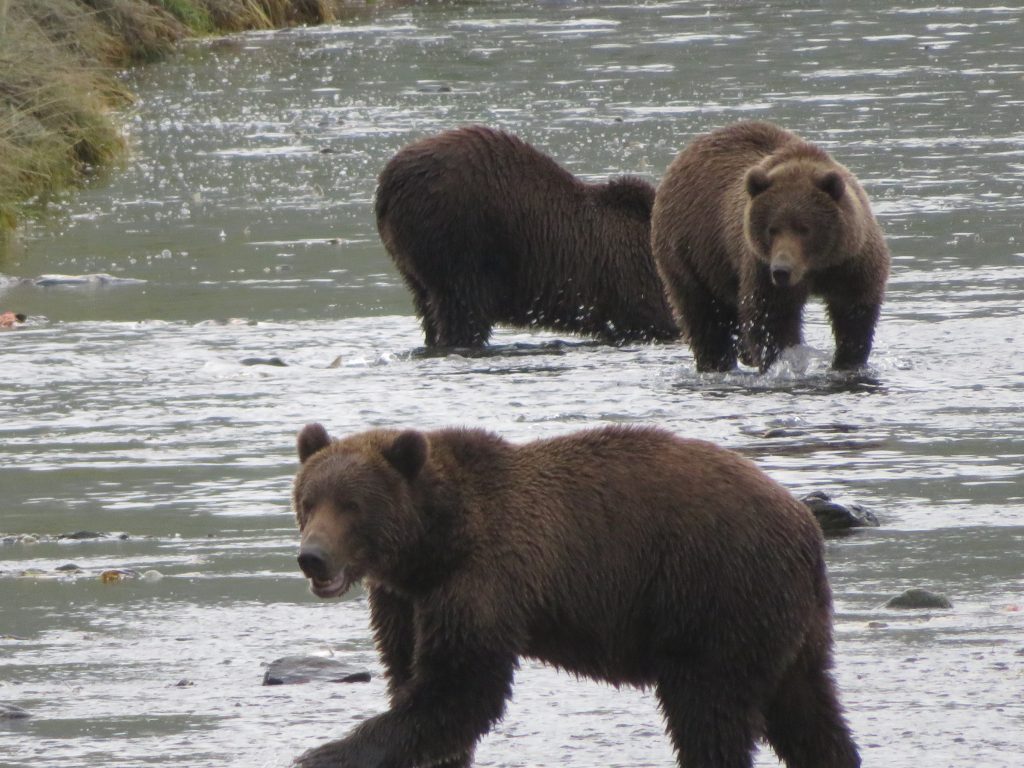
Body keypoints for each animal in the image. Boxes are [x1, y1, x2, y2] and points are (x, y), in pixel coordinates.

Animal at [288, 423, 856, 765]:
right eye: (308, 500)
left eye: (351, 505)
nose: (312, 557)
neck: (433, 544)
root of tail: (805, 527)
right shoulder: (406, 602)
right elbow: (414, 676)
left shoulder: (484, 580)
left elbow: (460, 689)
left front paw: (324, 753)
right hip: (785, 618)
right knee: (808, 707)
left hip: (718, 594)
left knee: (710, 709)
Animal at [376, 126, 679, 348]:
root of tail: (389, 181)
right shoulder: (633, 285)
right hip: (461, 242)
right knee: (462, 309)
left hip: (415, 265)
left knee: (429, 309)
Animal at [655, 120, 888, 372]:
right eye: (772, 229)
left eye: (804, 228)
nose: (781, 270)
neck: (814, 269)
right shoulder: (761, 267)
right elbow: (770, 318)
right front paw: (784, 360)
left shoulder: (850, 262)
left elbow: (855, 311)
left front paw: (847, 360)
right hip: (688, 253)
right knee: (702, 315)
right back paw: (716, 362)